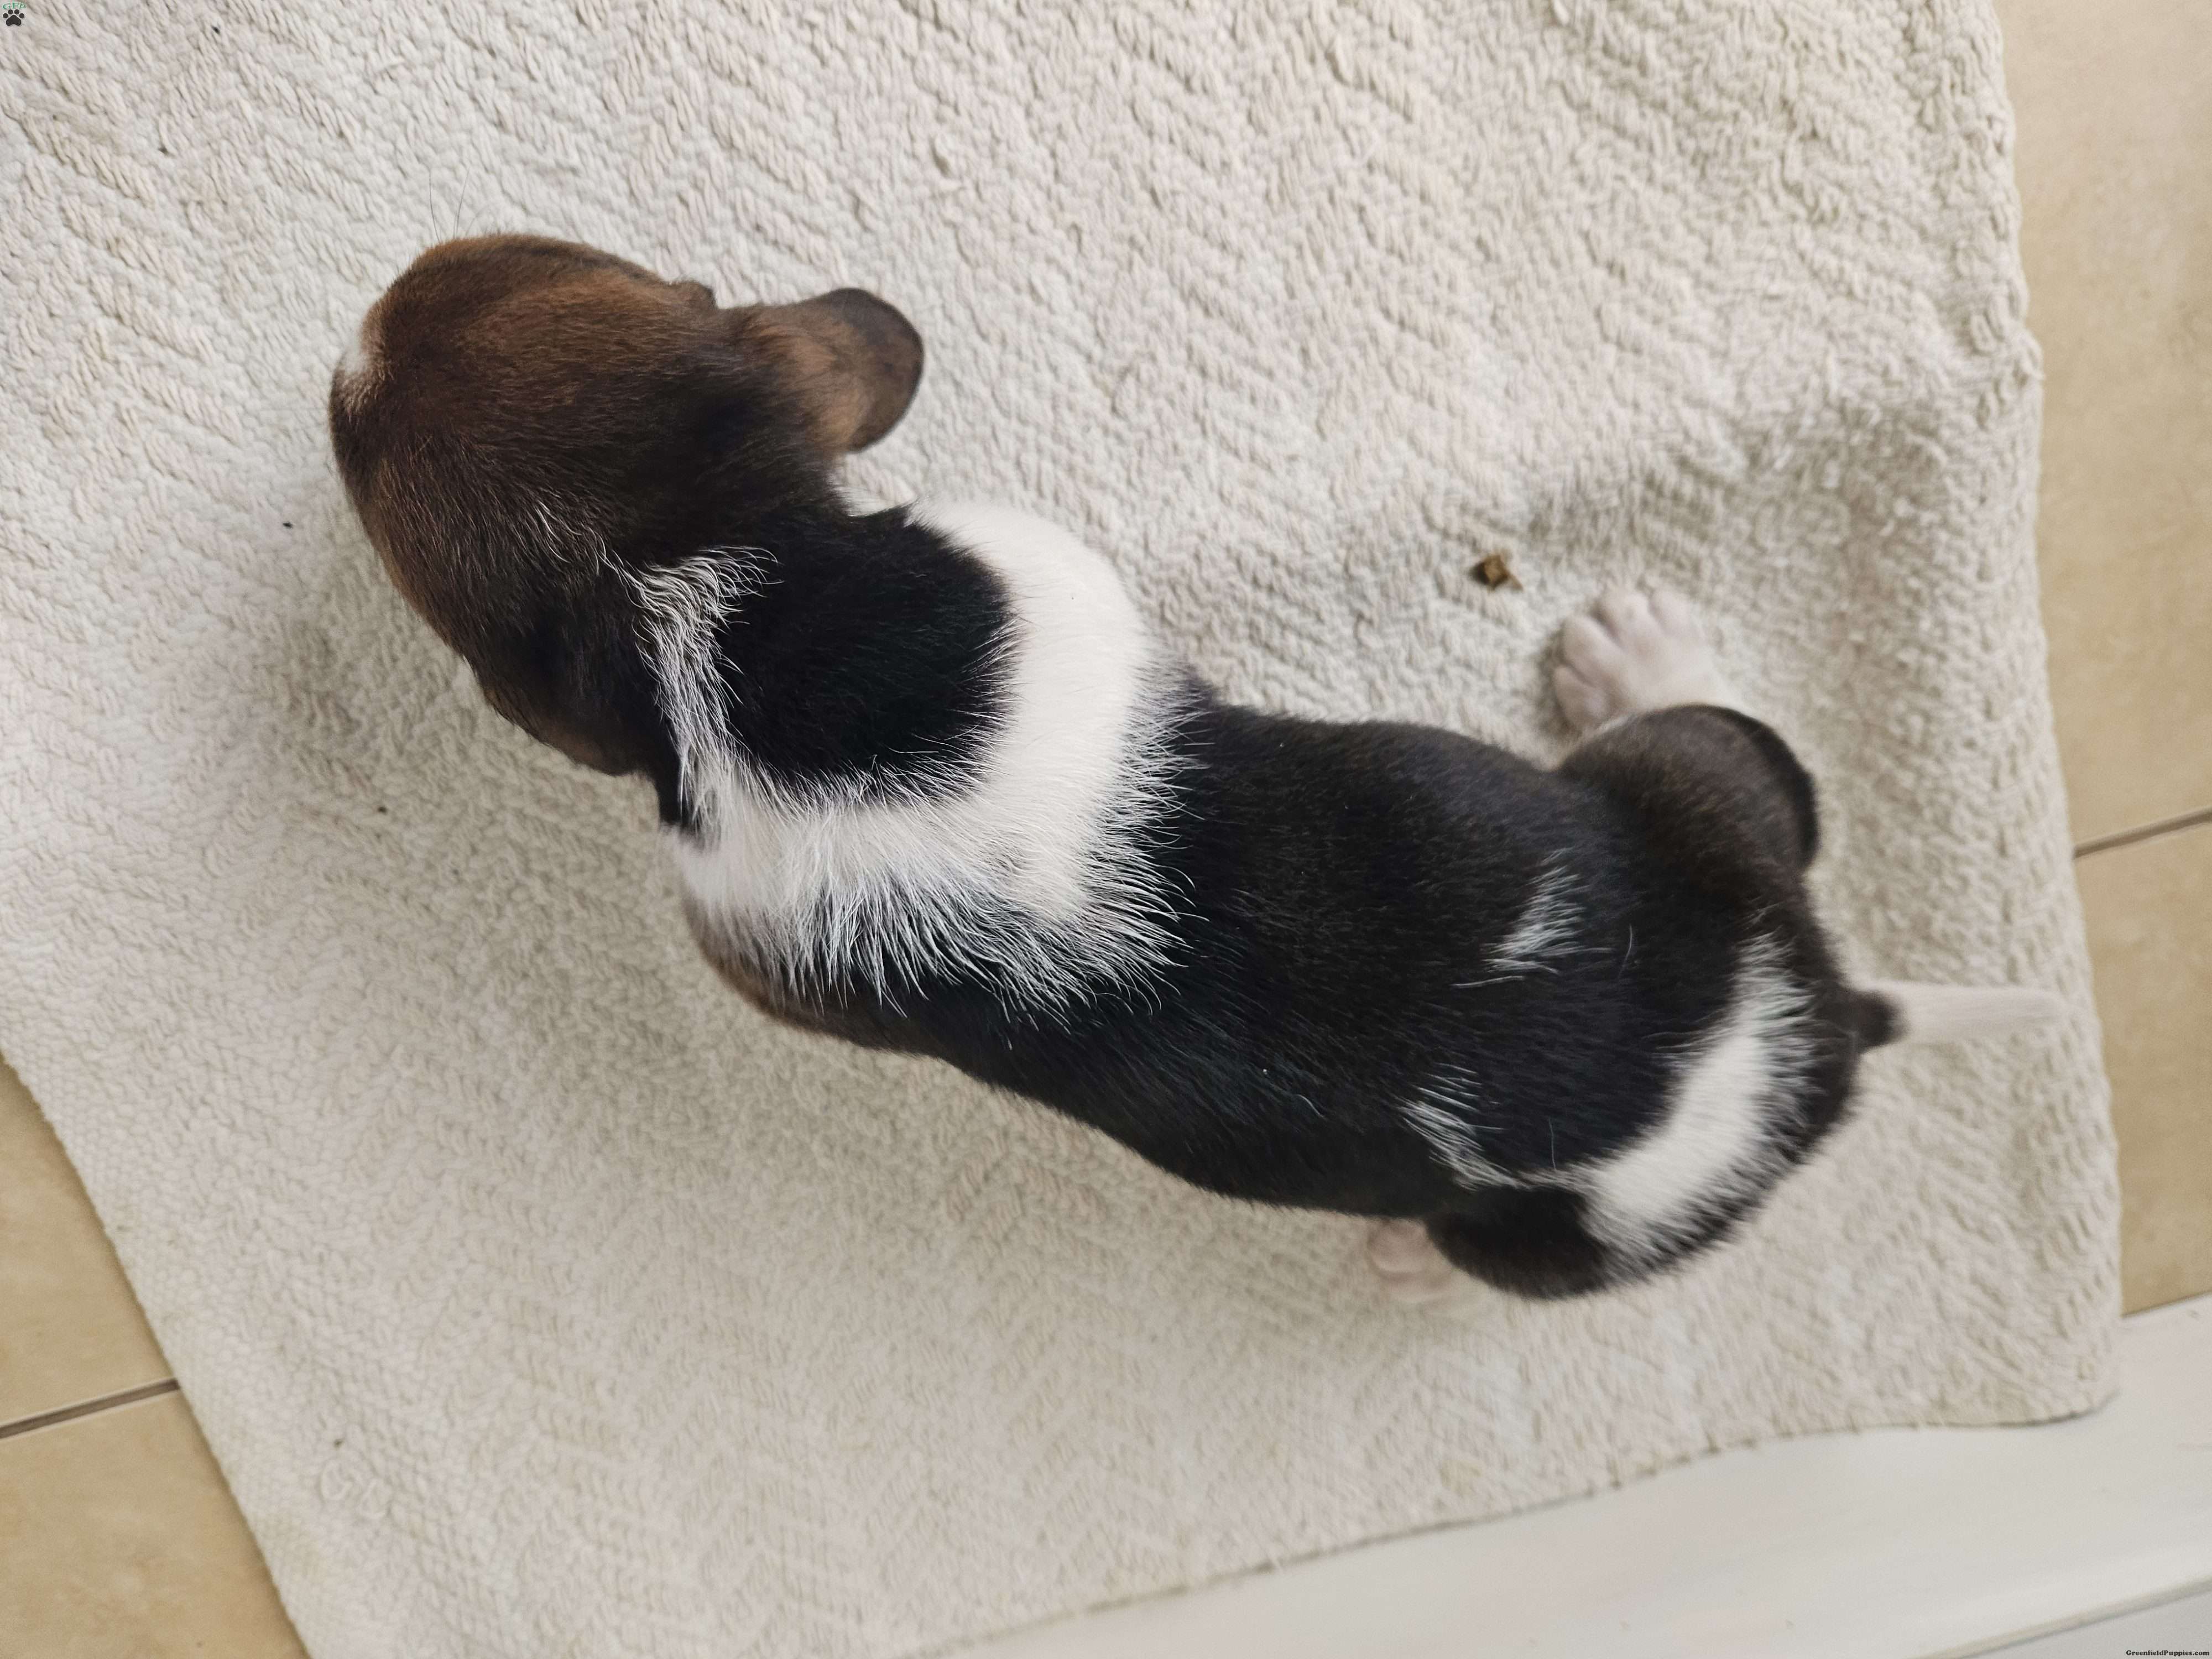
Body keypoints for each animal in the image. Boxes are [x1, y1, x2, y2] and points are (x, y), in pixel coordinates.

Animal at [330, 234, 2060, 1302]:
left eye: (357, 441)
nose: (353, 333)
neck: (712, 600)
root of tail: (1826, 1022)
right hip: (1695, 824)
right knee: (1754, 764)